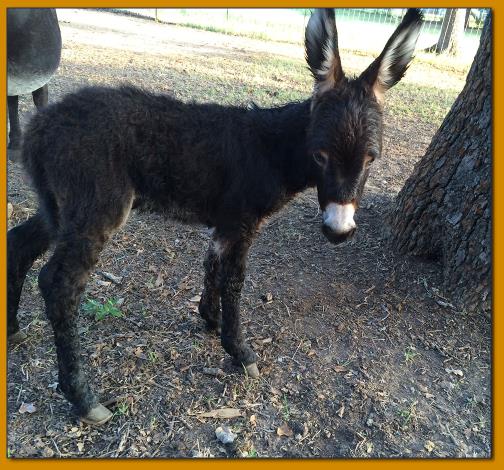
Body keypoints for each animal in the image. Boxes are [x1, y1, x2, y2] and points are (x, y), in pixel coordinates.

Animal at [8, 8, 426, 426]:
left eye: (371, 159)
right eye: (320, 155)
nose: (339, 231)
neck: (271, 149)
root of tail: (39, 128)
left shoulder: (225, 223)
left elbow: (212, 264)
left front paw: (209, 319)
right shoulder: (242, 222)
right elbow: (234, 280)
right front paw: (239, 351)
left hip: (58, 208)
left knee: (18, 245)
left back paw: (11, 330)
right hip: (97, 208)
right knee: (59, 283)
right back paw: (82, 396)